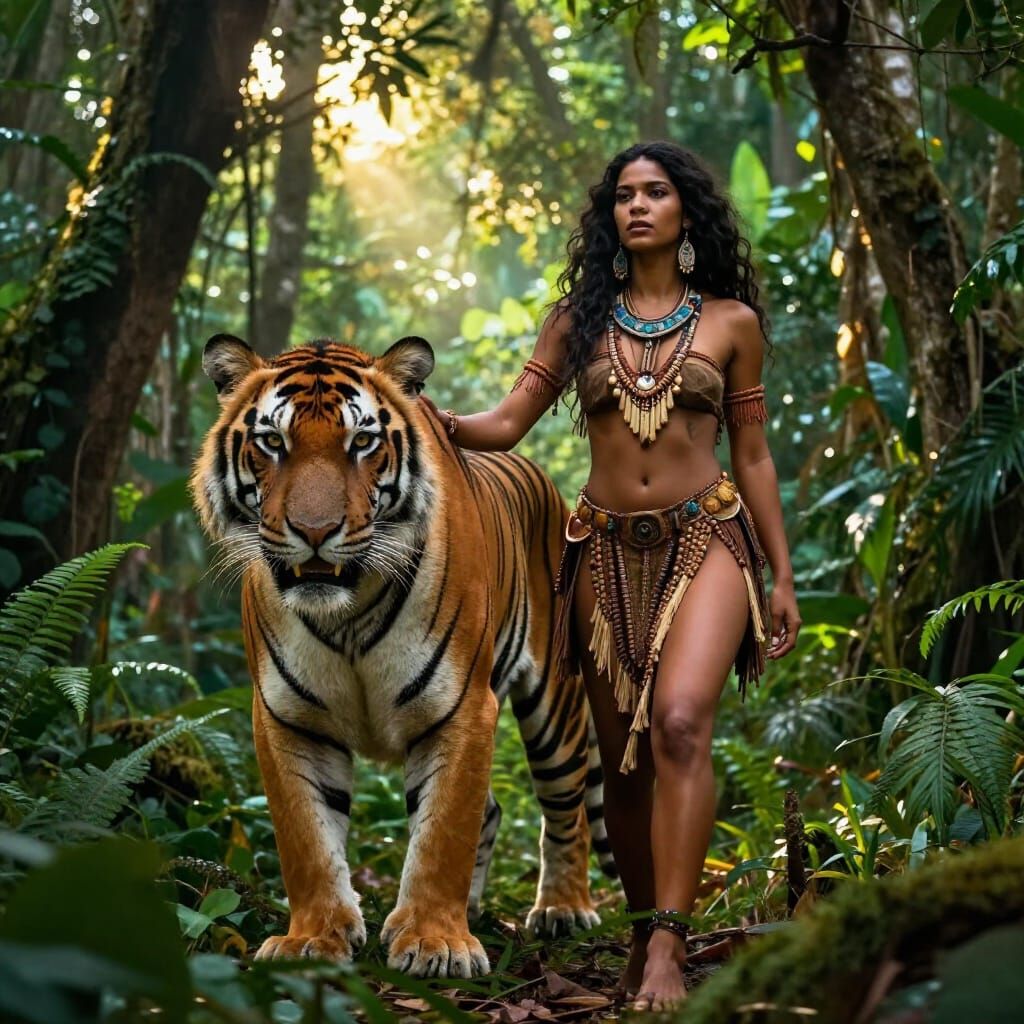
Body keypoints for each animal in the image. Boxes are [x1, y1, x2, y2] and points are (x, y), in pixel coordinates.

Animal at [191, 333, 614, 978]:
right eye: (273, 442)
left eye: (362, 442)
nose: (315, 531)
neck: (346, 612)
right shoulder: (287, 717)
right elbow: (306, 839)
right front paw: (312, 939)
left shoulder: (462, 707)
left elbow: (443, 834)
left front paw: (436, 944)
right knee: (496, 810)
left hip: (556, 706)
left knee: (567, 809)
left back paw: (563, 910)